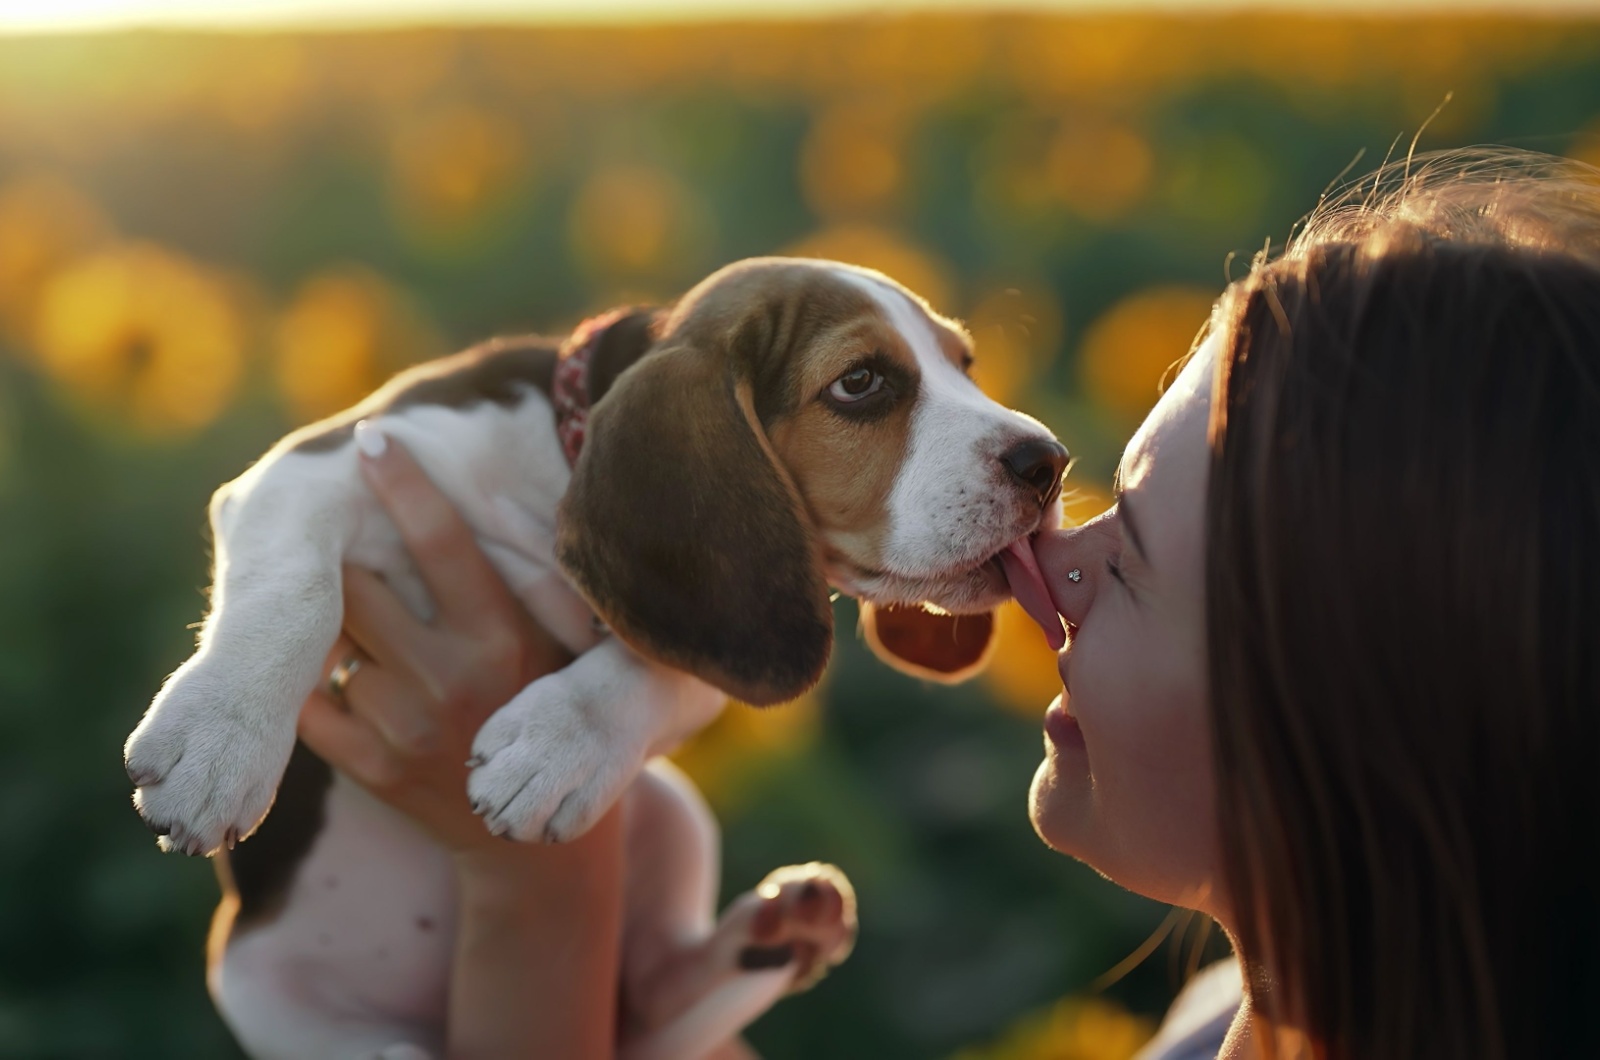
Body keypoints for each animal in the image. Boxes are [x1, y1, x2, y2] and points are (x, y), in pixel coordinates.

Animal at [124, 259, 1068, 1060]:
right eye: (861, 382)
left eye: (966, 364)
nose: (1049, 462)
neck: (556, 466)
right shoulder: (317, 470)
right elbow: (296, 590)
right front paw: (218, 747)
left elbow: (656, 668)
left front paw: (558, 747)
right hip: (268, 995)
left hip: (676, 816)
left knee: (645, 1011)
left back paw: (783, 932)